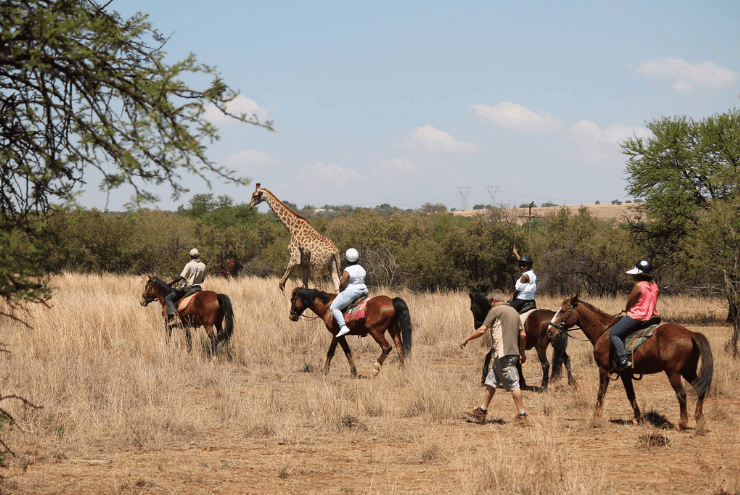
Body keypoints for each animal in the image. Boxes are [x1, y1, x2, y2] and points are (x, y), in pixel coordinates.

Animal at [548, 294, 712, 430]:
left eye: (563, 311)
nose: (550, 330)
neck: (603, 331)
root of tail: (690, 333)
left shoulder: (603, 370)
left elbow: (601, 393)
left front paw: (595, 416)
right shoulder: (625, 373)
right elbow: (630, 394)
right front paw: (637, 418)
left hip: (674, 373)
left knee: (681, 394)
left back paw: (682, 423)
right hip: (688, 370)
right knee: (700, 390)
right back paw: (699, 420)